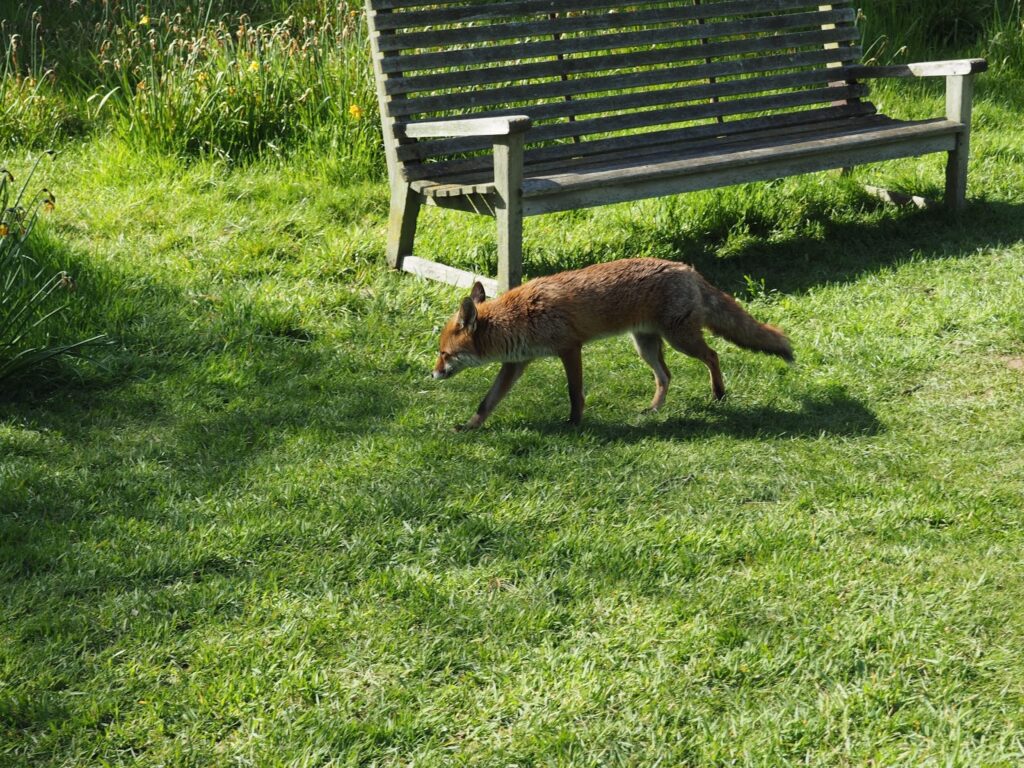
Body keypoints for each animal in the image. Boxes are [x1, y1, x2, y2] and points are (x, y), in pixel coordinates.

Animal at [432, 258, 793, 429]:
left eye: (444, 354)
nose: (432, 374)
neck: (518, 317)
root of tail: (686, 268)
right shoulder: (515, 363)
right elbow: (487, 402)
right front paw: (470, 427)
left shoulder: (570, 348)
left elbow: (574, 392)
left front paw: (574, 423)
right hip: (646, 345)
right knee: (666, 376)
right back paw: (654, 409)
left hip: (681, 339)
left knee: (713, 355)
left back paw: (719, 393)